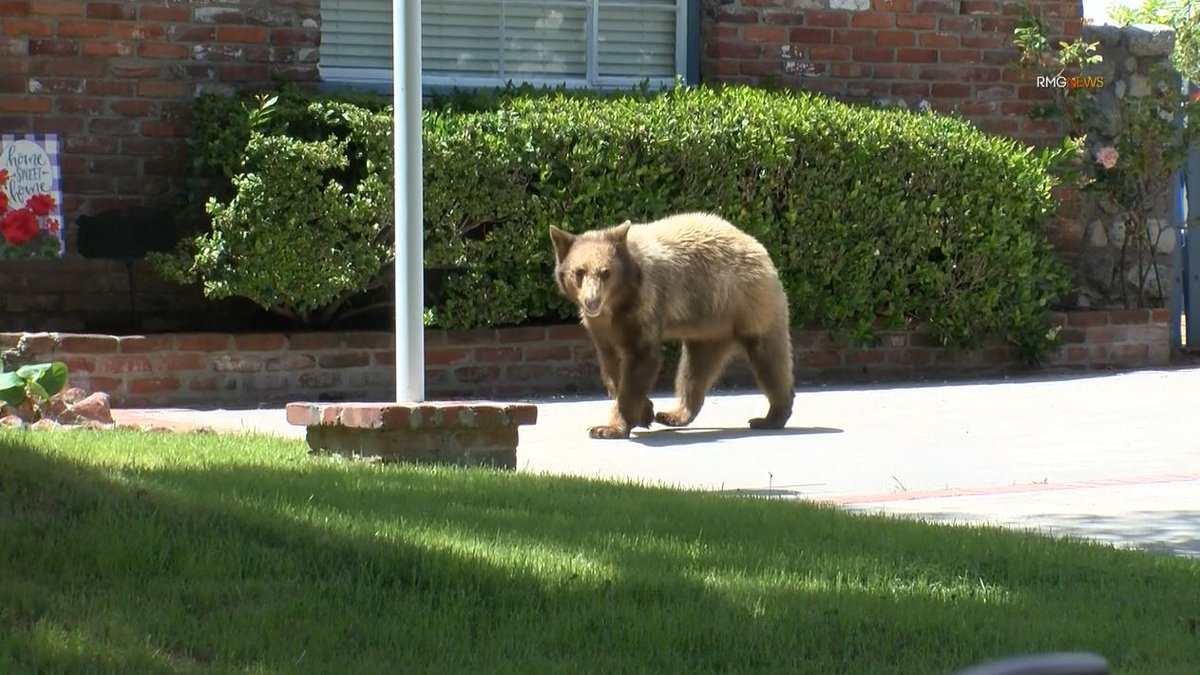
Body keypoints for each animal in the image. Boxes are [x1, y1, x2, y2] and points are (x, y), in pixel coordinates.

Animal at [549, 211, 795, 440]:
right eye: (579, 272)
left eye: (605, 272)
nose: (592, 301)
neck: (617, 305)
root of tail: (755, 243)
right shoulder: (602, 329)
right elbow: (613, 367)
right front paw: (645, 412)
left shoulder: (644, 306)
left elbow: (640, 359)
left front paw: (608, 428)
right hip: (710, 325)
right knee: (695, 369)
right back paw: (674, 414)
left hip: (750, 303)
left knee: (769, 358)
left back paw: (771, 417)